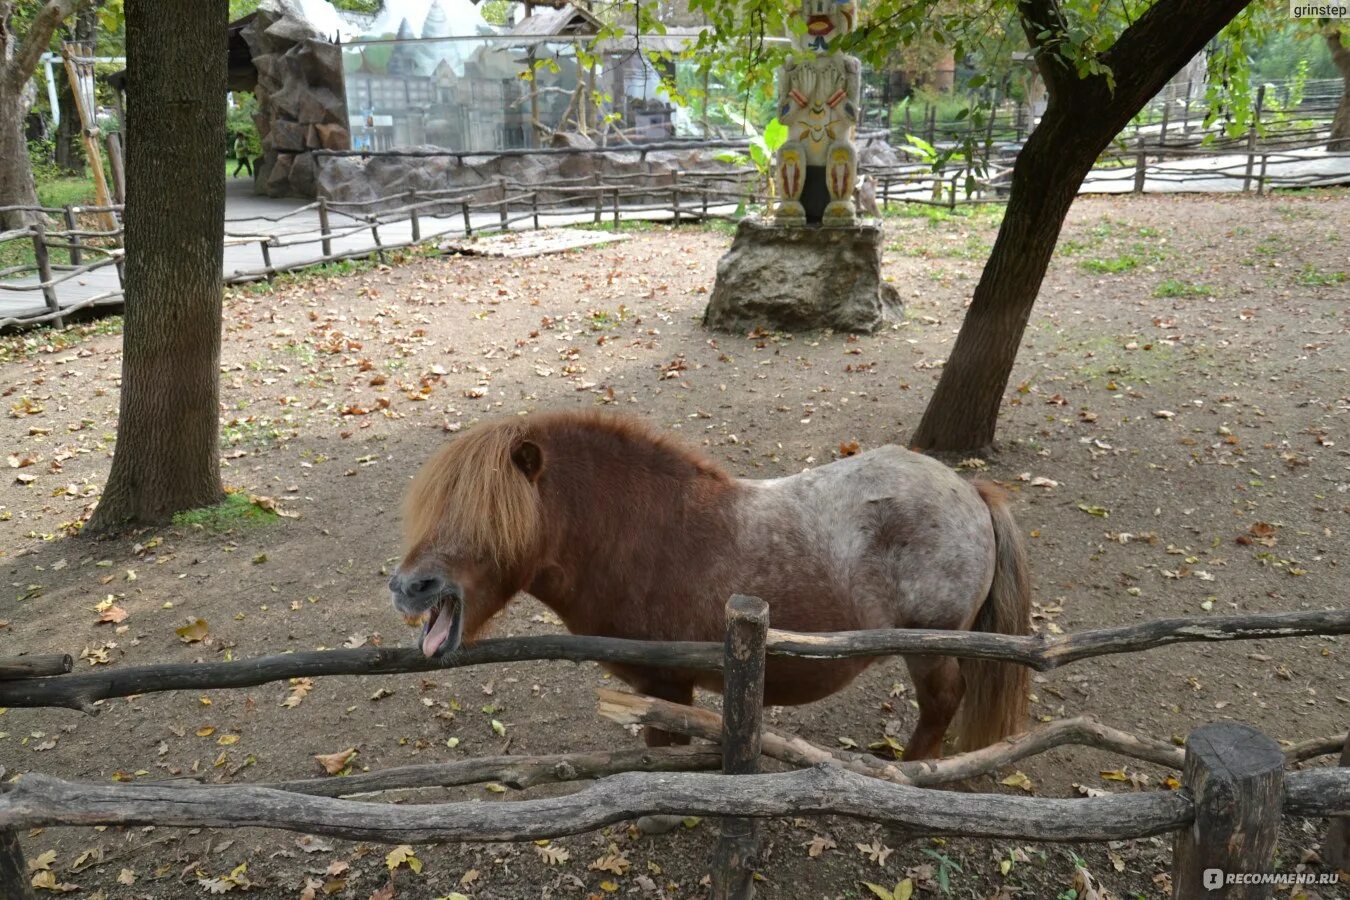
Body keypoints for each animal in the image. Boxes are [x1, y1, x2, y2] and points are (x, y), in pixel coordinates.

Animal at [391, 412, 1031, 761]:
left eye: (488, 520)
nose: (408, 587)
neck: (640, 532)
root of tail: (971, 492)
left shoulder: (664, 683)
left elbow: (660, 750)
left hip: (931, 648)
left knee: (943, 702)